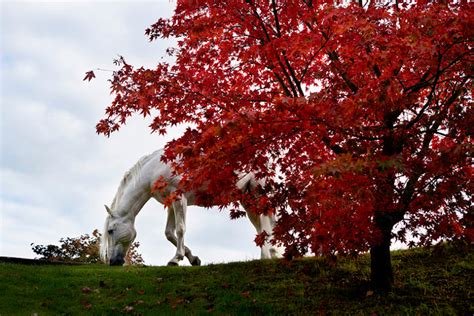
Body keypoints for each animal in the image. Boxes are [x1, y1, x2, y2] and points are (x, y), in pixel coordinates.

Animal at [99, 149, 278, 266]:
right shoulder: (171, 204)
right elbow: (169, 233)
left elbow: (180, 229)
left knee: (265, 225)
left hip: (257, 194)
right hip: (247, 201)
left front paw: (175, 259)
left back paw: (267, 256)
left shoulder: (179, 198)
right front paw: (193, 258)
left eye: (110, 231)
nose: (113, 262)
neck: (156, 168)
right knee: (261, 228)